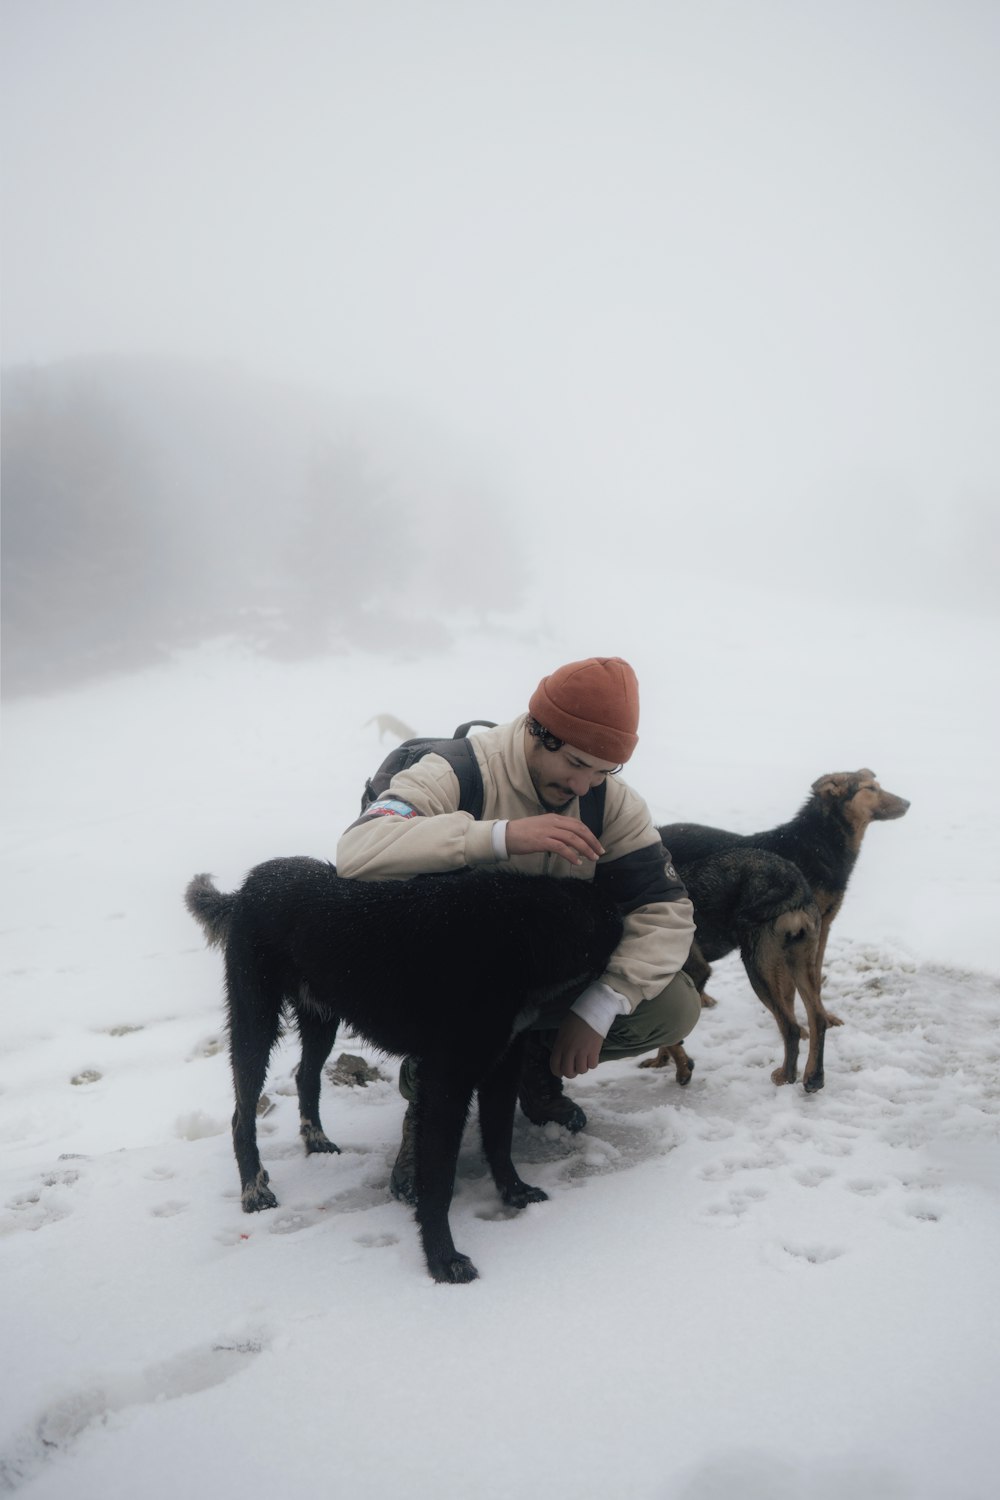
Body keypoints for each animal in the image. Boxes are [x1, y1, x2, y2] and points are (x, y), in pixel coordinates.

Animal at [182, 864, 617, 1284]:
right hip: (255, 1024)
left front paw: (514, 1193)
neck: (518, 928)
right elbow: (439, 1181)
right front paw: (443, 1261)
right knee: (242, 1114)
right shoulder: (446, 1084)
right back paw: (254, 1190)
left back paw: (316, 1141)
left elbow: (499, 1141)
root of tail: (249, 887)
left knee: (306, 1077)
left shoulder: (502, 1069)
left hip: (321, 1019)